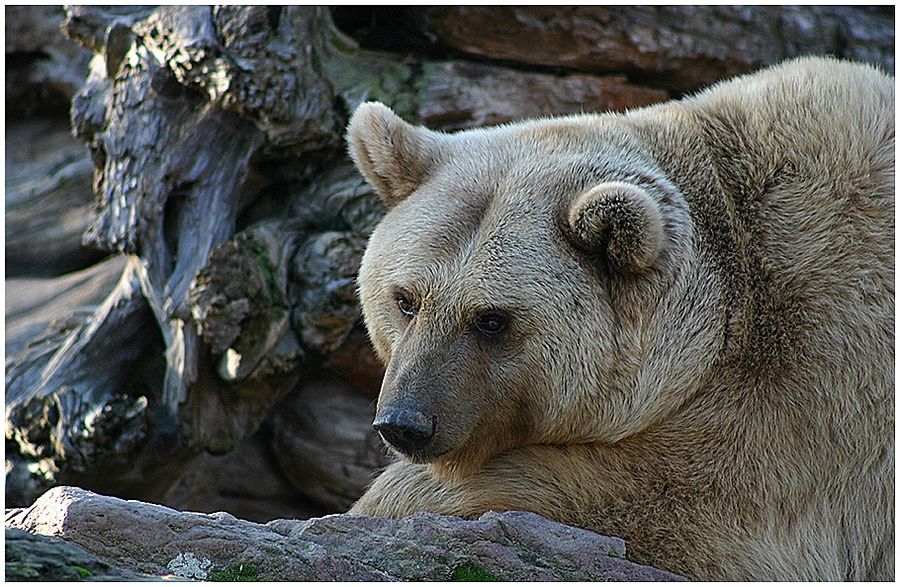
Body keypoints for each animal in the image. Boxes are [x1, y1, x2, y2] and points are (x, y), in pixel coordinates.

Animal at [342, 57, 892, 580]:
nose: (405, 423)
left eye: (491, 319)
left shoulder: (822, 382)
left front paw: (394, 500)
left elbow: (691, 508)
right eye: (405, 300)